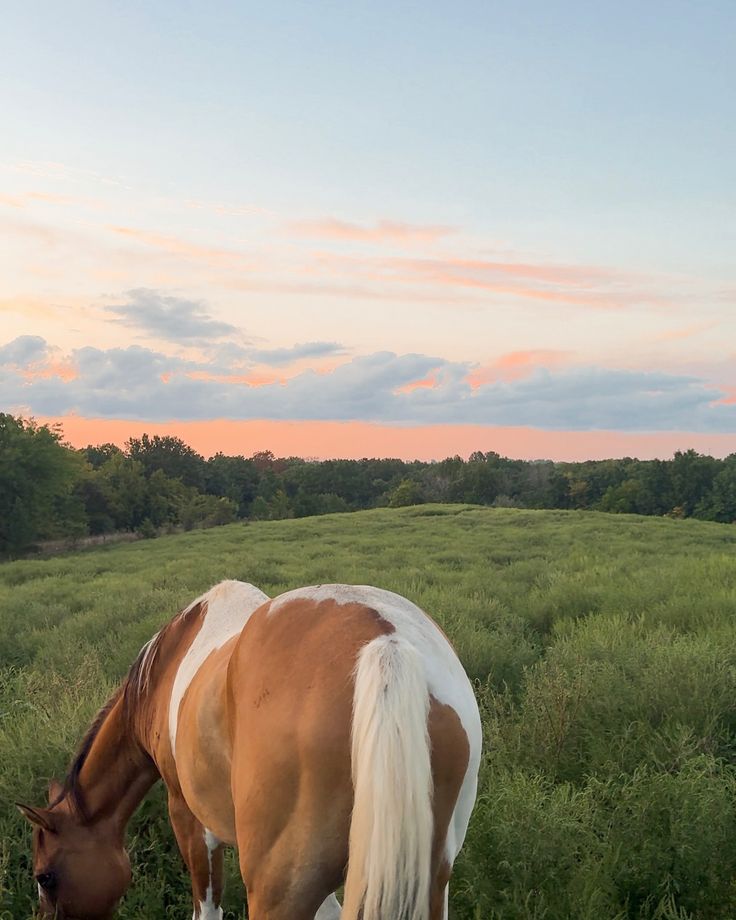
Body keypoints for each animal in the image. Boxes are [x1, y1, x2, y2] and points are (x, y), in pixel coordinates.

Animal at [17, 584, 484, 920]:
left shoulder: (187, 818)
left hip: (278, 889)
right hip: (428, 879)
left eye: (45, 876)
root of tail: (387, 643)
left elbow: (206, 908)